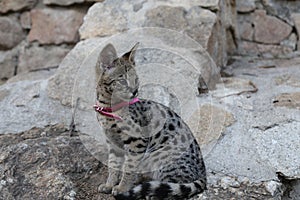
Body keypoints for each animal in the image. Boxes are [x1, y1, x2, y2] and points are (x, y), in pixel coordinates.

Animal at [94, 43, 206, 199]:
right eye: (122, 81)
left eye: (136, 79)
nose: (135, 91)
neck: (109, 109)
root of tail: (203, 174)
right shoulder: (113, 142)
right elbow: (113, 165)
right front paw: (109, 184)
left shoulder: (136, 142)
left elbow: (129, 168)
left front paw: (122, 188)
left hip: (161, 155)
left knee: (177, 185)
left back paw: (153, 192)